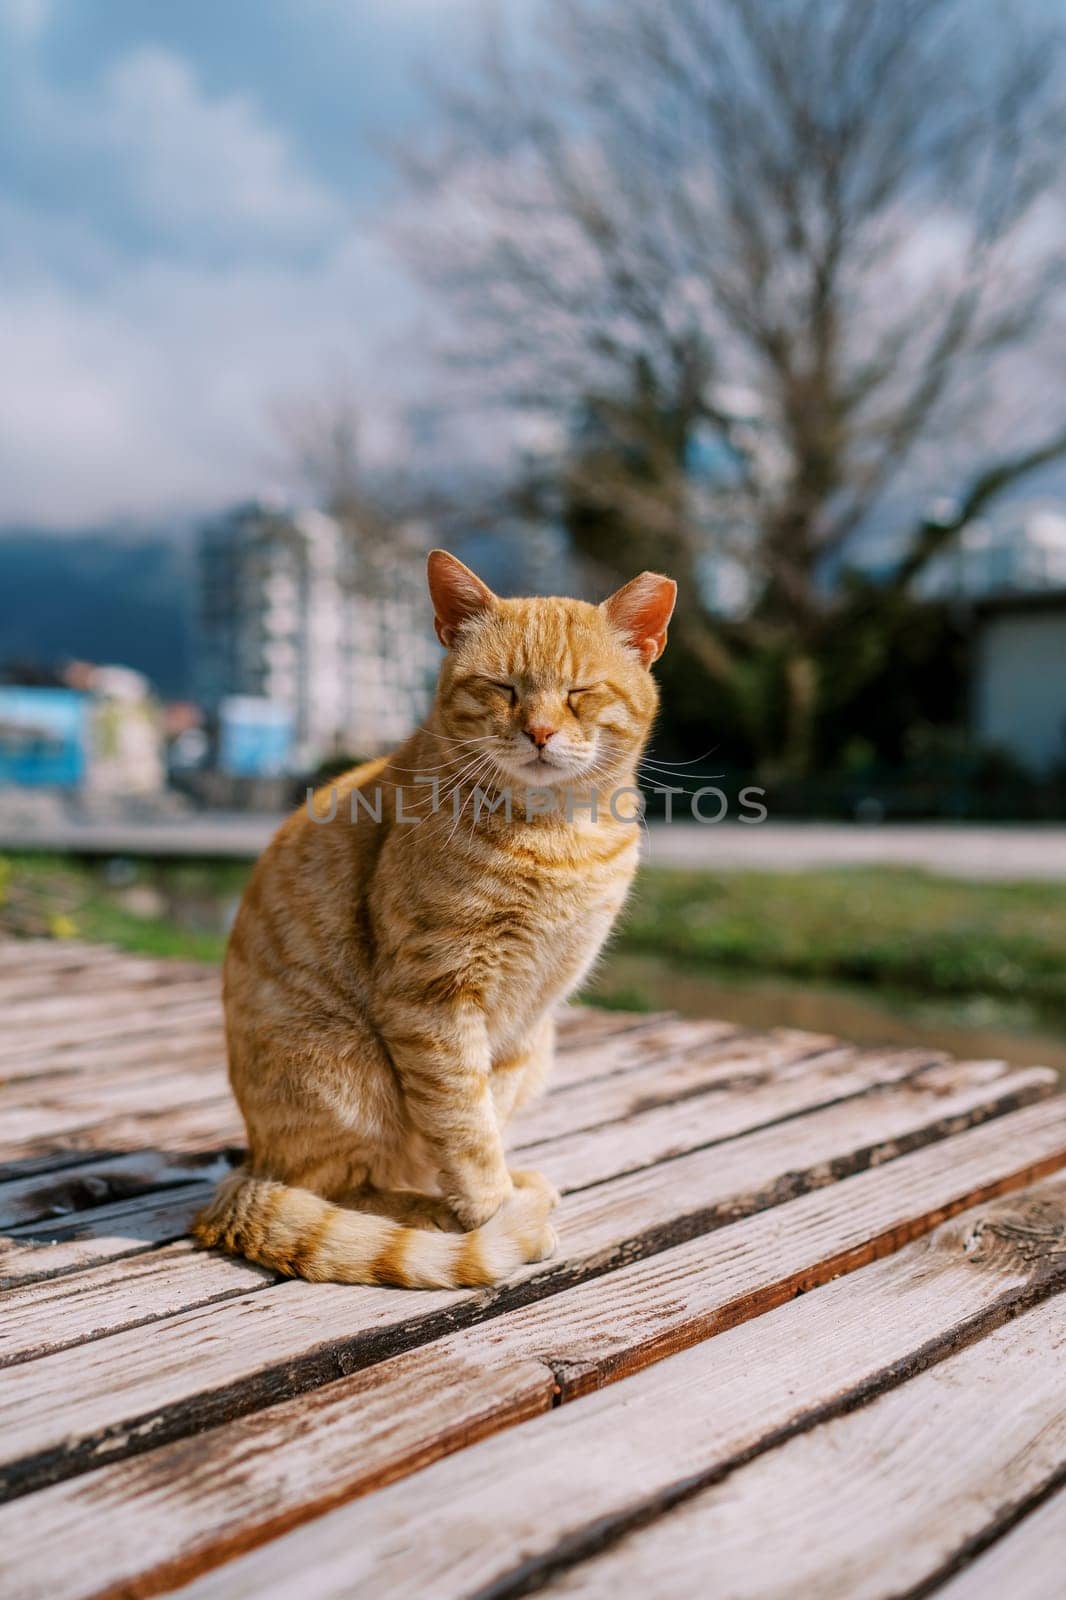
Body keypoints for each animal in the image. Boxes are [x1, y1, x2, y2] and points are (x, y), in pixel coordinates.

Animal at [191, 550, 672, 1286]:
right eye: (503, 688)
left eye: (579, 692)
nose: (538, 732)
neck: (557, 836)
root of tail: (250, 1163)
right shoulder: (434, 999)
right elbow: (463, 1122)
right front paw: (489, 1212)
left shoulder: (523, 1020)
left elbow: (486, 1109)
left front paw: (496, 1190)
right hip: (343, 1068)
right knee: (337, 1185)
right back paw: (433, 1208)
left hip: (536, 1047)